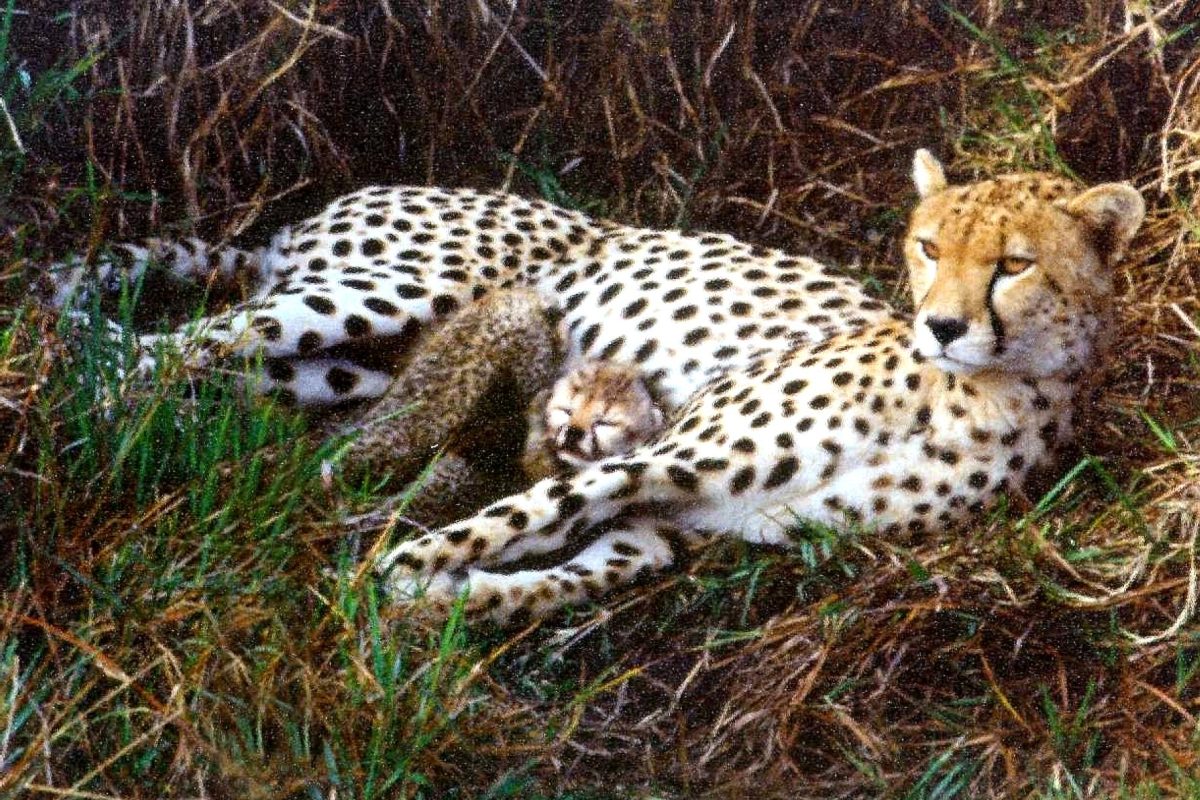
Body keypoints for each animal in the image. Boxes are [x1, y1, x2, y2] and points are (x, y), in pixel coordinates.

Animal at [371, 151, 1145, 623]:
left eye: (1014, 264)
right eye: (929, 248)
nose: (943, 327)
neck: (978, 394)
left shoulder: (675, 522)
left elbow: (580, 569)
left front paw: (451, 595)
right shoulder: (664, 460)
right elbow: (523, 515)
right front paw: (395, 575)